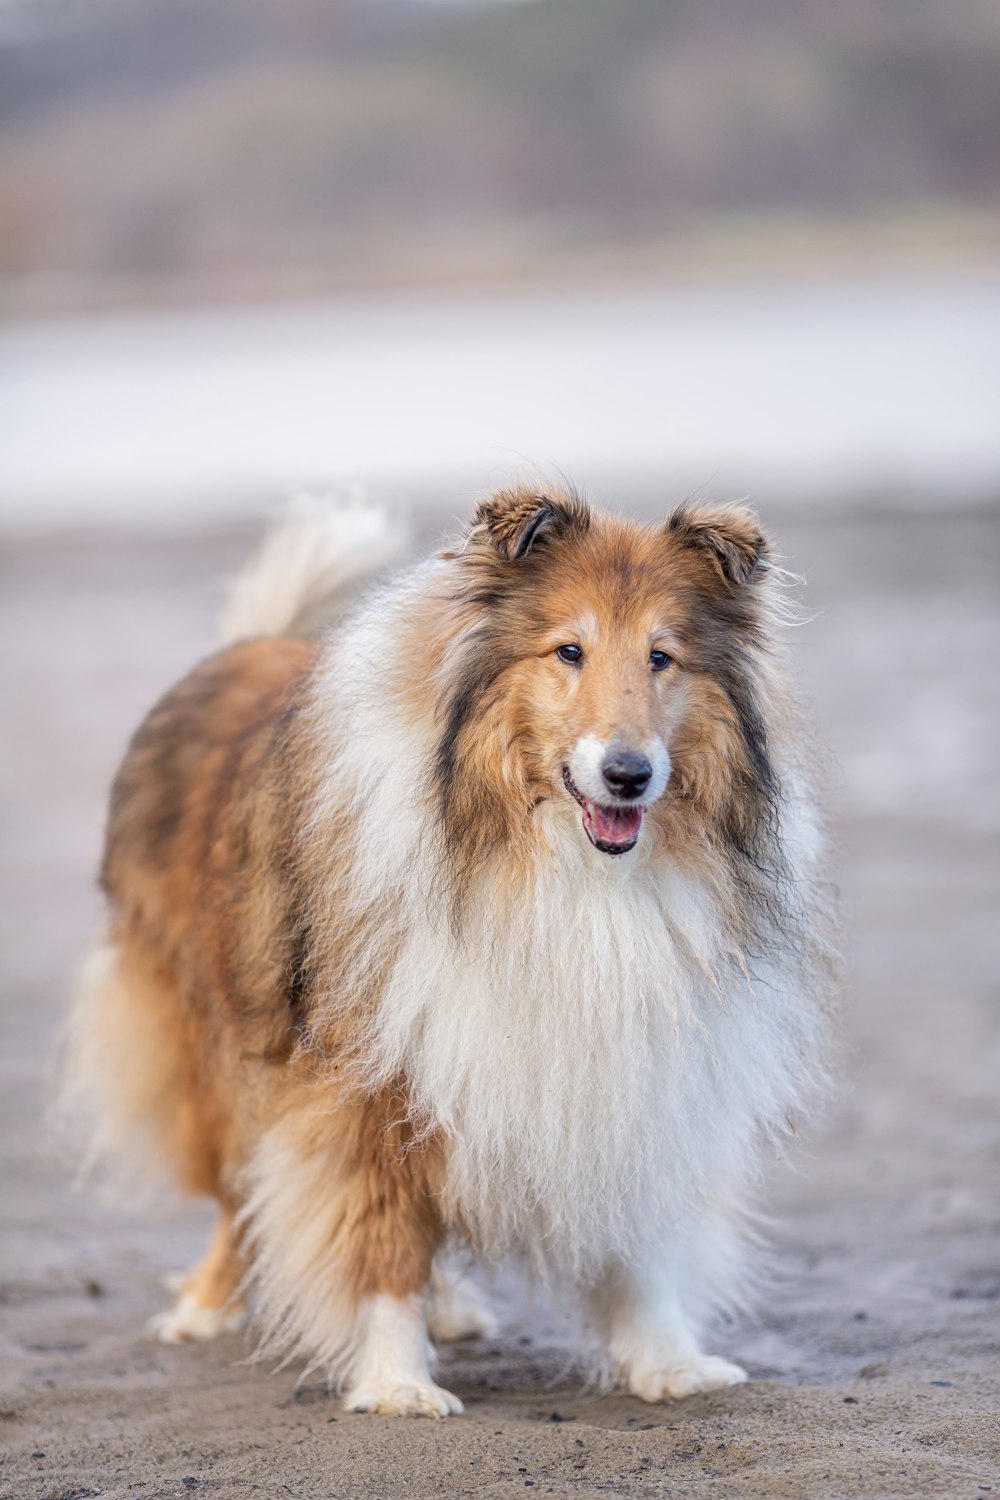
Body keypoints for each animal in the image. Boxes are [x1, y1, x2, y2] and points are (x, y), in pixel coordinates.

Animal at [62, 486, 839, 1410]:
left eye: (663, 657)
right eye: (569, 651)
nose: (628, 774)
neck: (564, 868)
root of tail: (243, 644)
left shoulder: (639, 1073)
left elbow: (637, 1239)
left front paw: (666, 1363)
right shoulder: (366, 1080)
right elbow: (382, 1237)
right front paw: (397, 1382)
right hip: (212, 1046)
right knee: (234, 1192)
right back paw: (206, 1309)